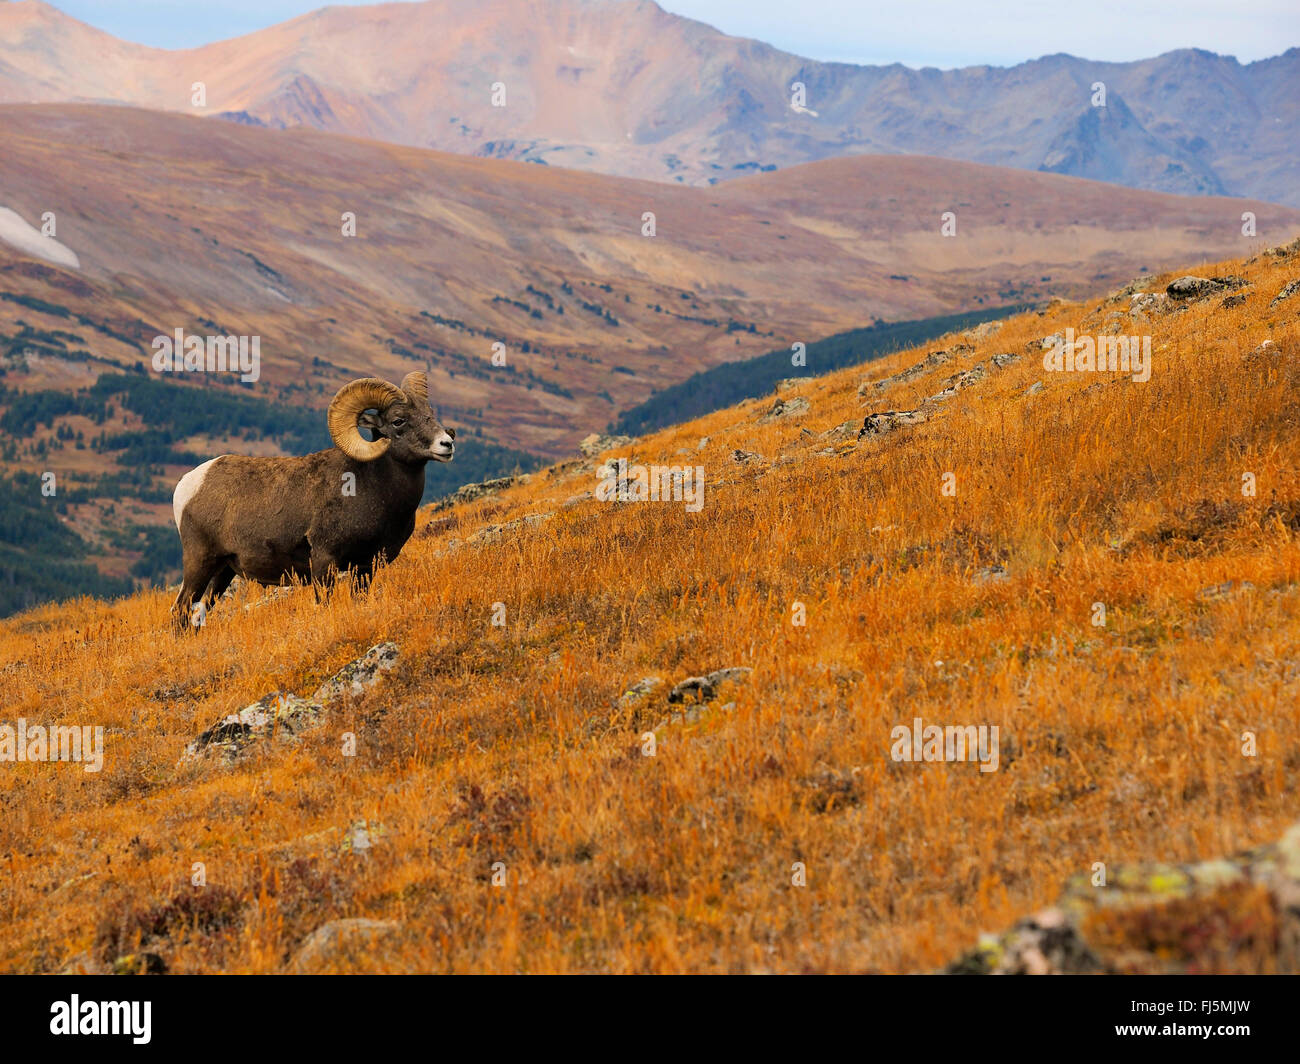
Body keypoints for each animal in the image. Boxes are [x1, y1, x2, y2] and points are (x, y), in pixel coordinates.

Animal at [170, 372, 454, 630]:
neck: (373, 487)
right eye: (398, 421)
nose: (447, 443)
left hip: (223, 571)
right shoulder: (324, 560)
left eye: (430, 413)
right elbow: (324, 603)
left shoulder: (365, 567)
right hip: (200, 562)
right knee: (180, 609)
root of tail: (188, 483)